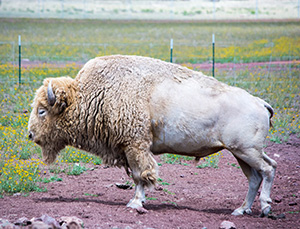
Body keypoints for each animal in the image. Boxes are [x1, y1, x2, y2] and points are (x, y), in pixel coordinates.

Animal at [28, 55, 276, 216]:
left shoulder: (135, 146)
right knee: (255, 177)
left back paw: (265, 208)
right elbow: (138, 176)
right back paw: (240, 210)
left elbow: (140, 175)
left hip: (246, 151)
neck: (89, 95)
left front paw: (136, 203)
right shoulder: (130, 148)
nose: (30, 134)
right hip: (240, 154)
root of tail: (260, 103)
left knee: (267, 169)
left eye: (42, 110)